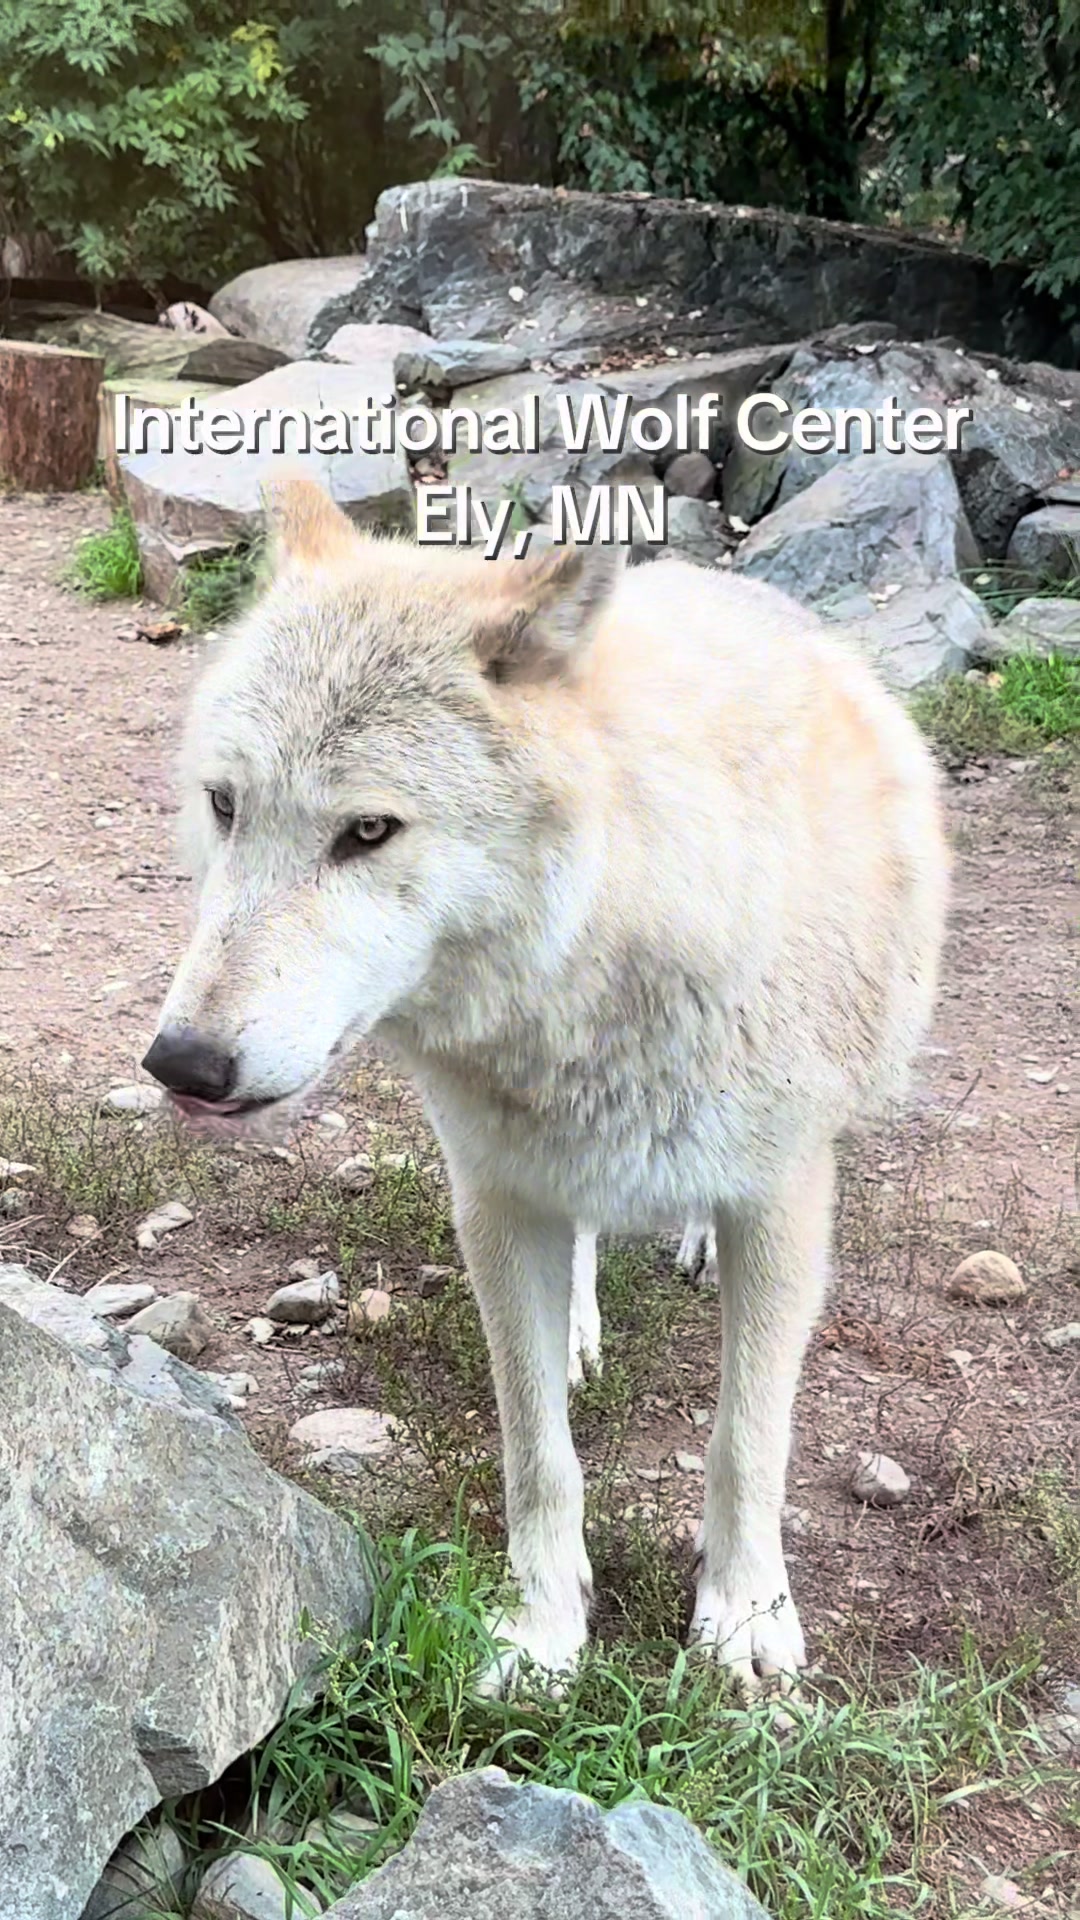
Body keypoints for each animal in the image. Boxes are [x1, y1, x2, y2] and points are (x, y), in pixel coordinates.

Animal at [143, 476, 948, 1698]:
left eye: (367, 830)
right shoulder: (498, 1199)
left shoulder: (782, 1200)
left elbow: (747, 1440)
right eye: (225, 804)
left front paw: (746, 1619)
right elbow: (538, 1447)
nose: (181, 1063)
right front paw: (543, 1633)